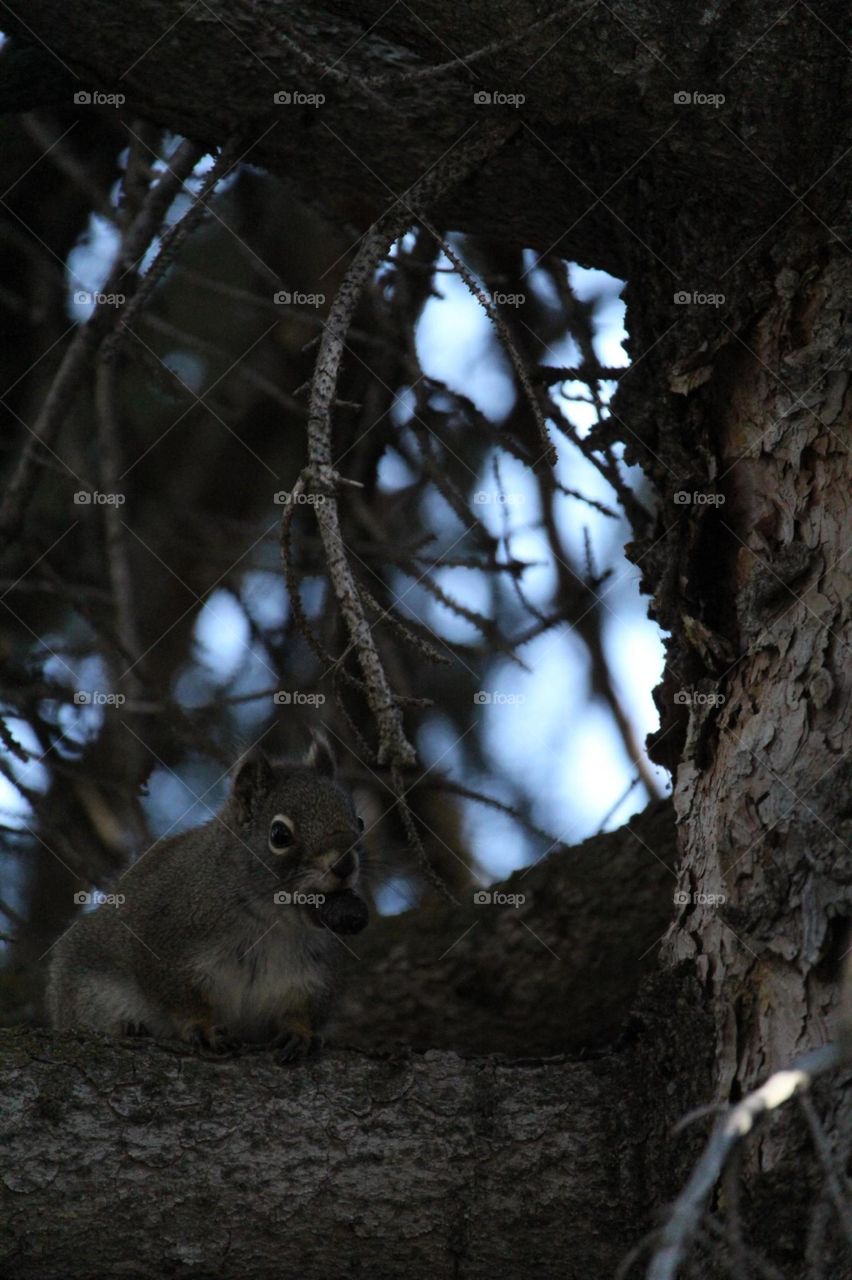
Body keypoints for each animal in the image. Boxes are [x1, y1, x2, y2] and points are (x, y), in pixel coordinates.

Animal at [45, 735, 370, 1061]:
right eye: (279, 834)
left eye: (360, 821)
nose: (345, 864)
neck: (274, 920)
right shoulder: (164, 945)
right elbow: (181, 998)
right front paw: (204, 1027)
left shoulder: (314, 976)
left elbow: (302, 1011)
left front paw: (299, 1032)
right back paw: (128, 1026)